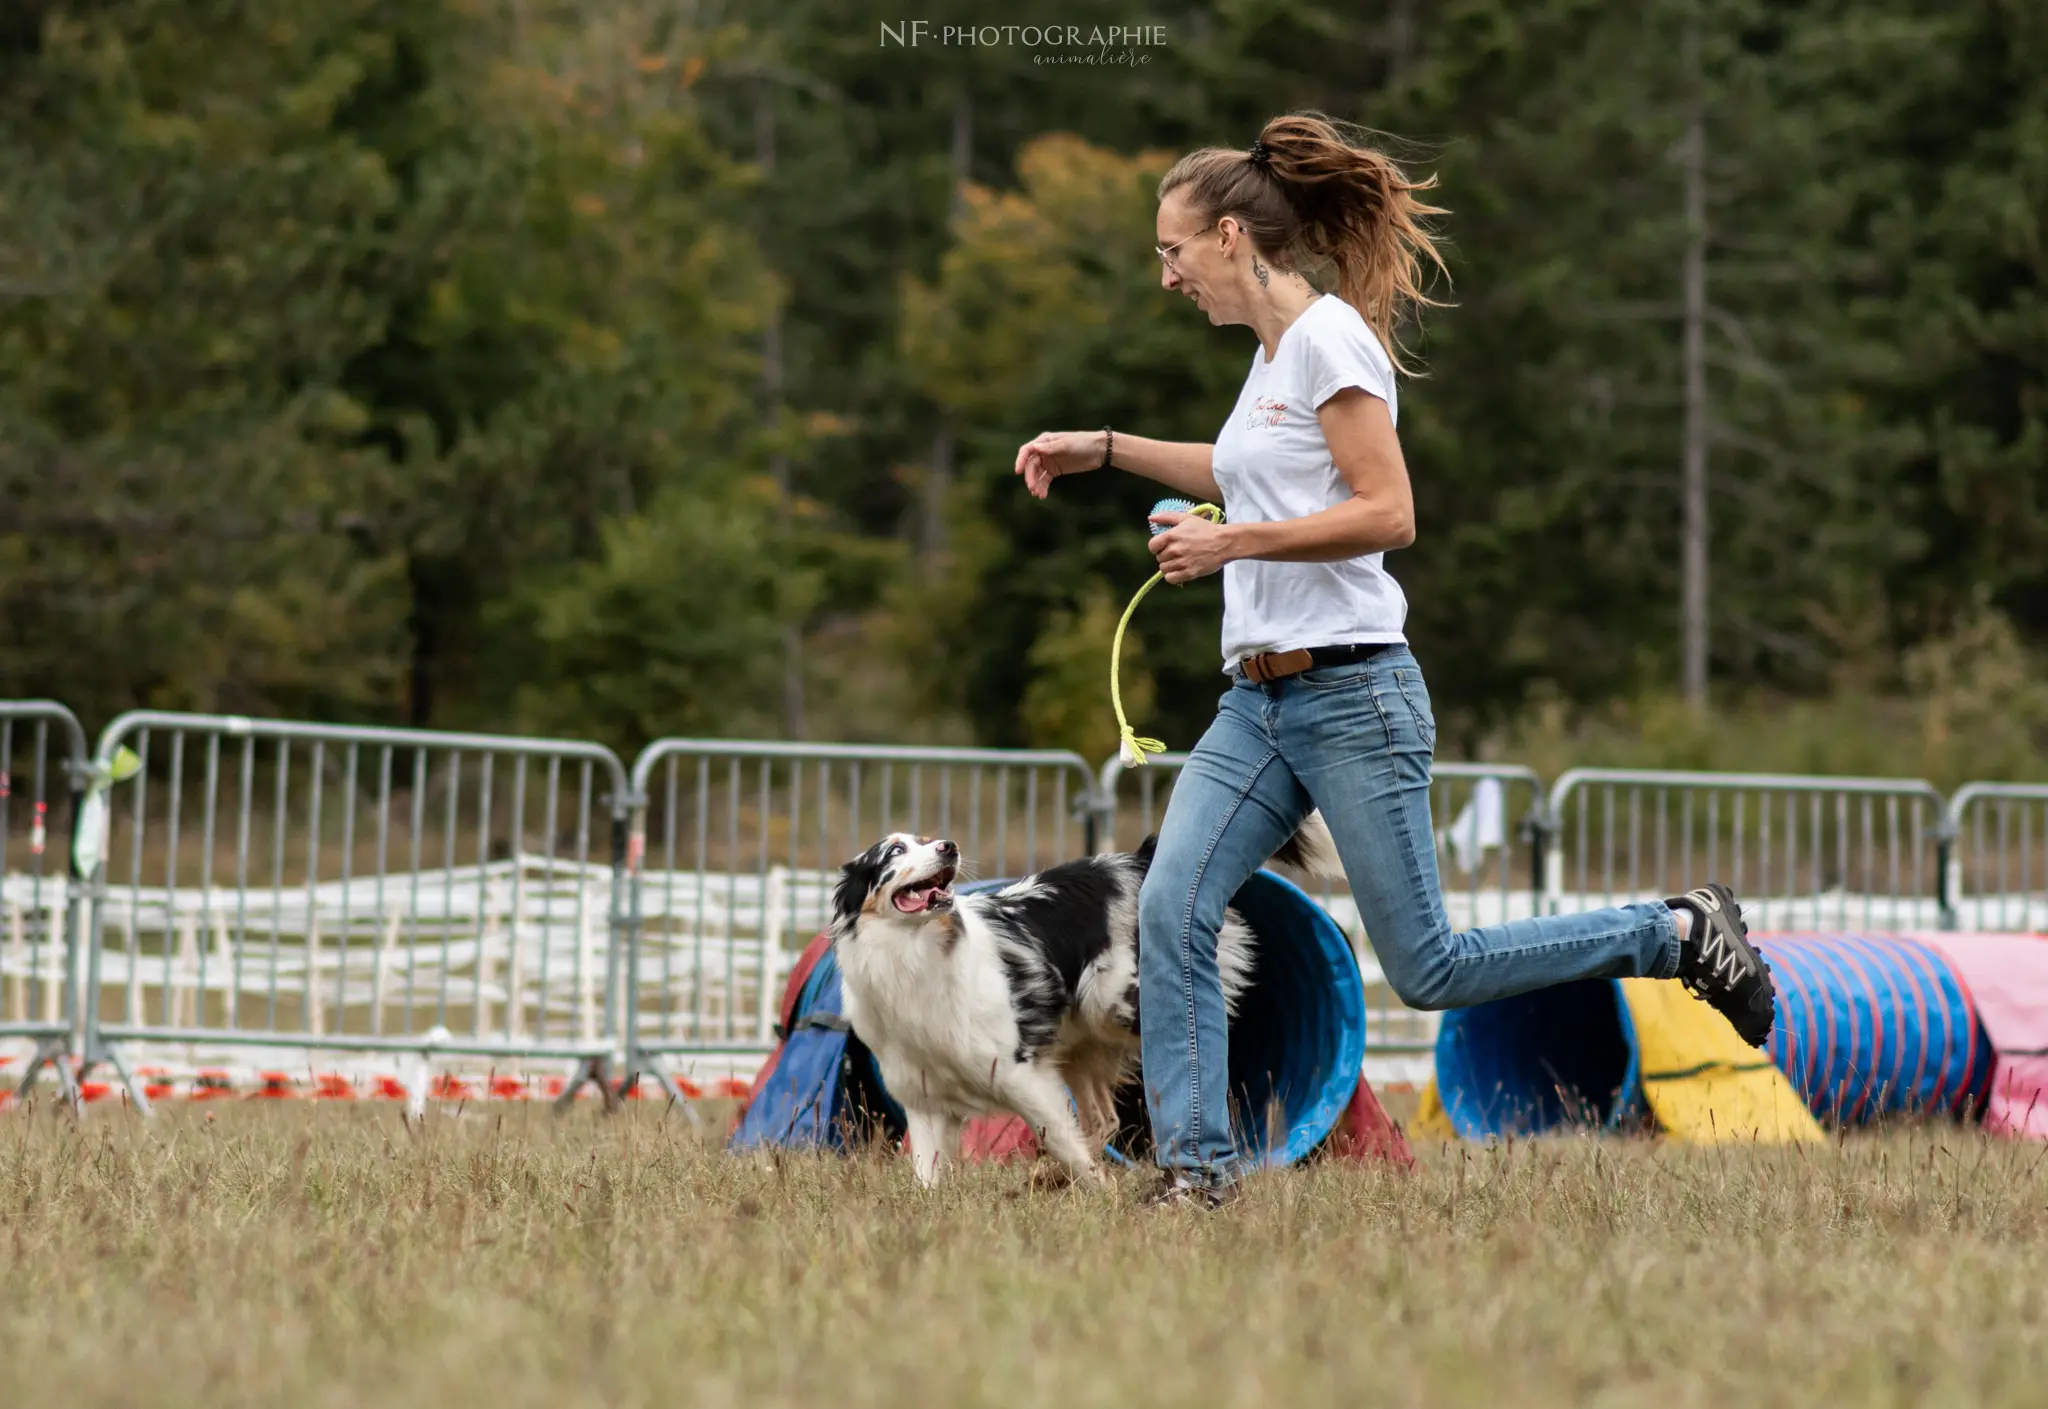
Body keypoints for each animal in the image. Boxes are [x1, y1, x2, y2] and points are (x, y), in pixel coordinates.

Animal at [831, 815, 1343, 1187]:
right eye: (895, 852)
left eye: (926, 840)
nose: (949, 846)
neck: (915, 951)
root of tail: (1134, 861)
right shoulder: (922, 1097)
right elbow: (926, 1172)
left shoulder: (1021, 1075)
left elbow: (1060, 1136)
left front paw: (1098, 1190)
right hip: (1080, 1041)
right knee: (1104, 1118)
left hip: (1107, 1001)